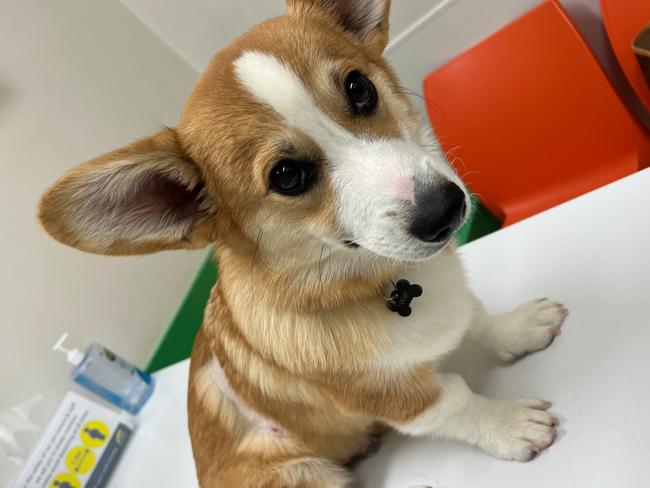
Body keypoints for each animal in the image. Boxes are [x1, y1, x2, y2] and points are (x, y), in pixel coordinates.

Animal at [40, 0, 568, 486]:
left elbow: (477, 317)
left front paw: (519, 327)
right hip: (306, 473)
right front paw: (510, 425)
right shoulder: (395, 398)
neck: (382, 282)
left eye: (359, 88)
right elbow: (457, 401)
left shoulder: (456, 304)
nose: (445, 210)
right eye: (287, 176)